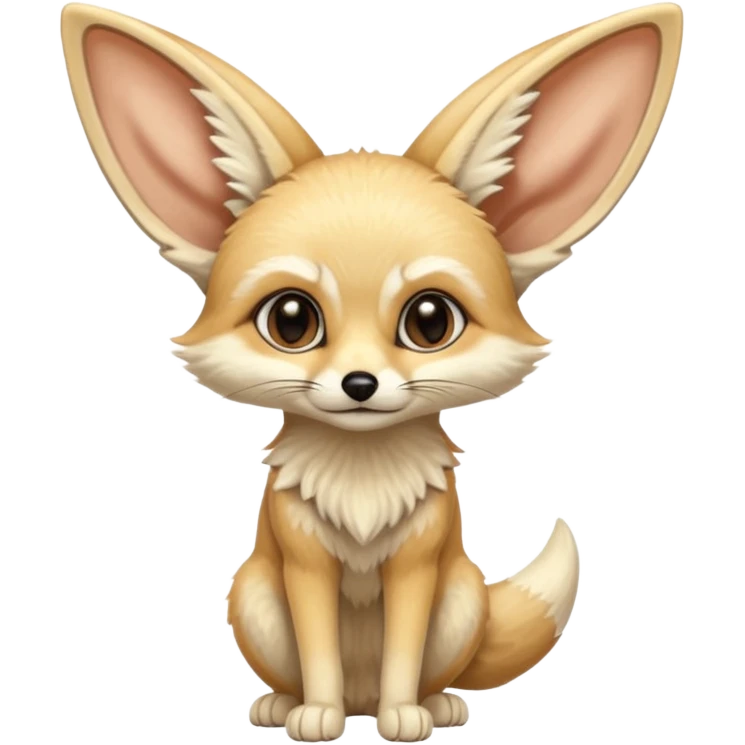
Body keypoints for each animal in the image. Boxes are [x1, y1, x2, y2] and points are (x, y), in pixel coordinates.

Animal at [60, 2, 683, 741]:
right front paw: (319, 715)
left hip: (459, 600)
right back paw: (288, 704)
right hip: (253, 595)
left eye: (430, 322)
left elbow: (403, 655)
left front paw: (401, 715)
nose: (360, 385)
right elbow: (319, 653)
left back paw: (430, 704)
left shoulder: (418, 564)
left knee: (431, 668)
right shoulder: (302, 562)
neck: (361, 481)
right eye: (291, 321)